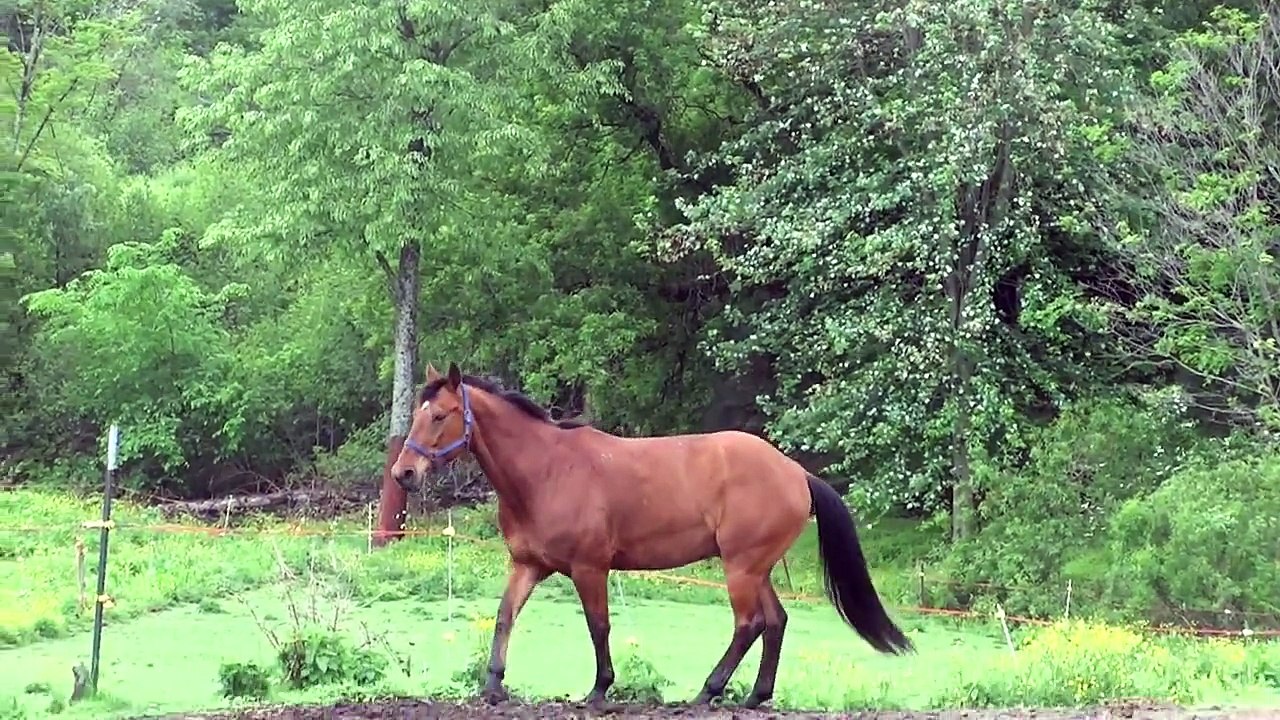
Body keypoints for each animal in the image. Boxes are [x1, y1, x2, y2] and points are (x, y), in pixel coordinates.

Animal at [390, 362, 914, 709]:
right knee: (775, 622)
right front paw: (494, 686)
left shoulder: (590, 568)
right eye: (418, 413)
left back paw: (707, 692)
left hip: (741, 568)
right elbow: (504, 617)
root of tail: (796, 472)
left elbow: (598, 626)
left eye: (440, 415)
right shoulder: (528, 565)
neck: (547, 471)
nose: (403, 473)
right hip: (754, 567)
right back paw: (754, 697)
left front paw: (600, 690)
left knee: (749, 624)